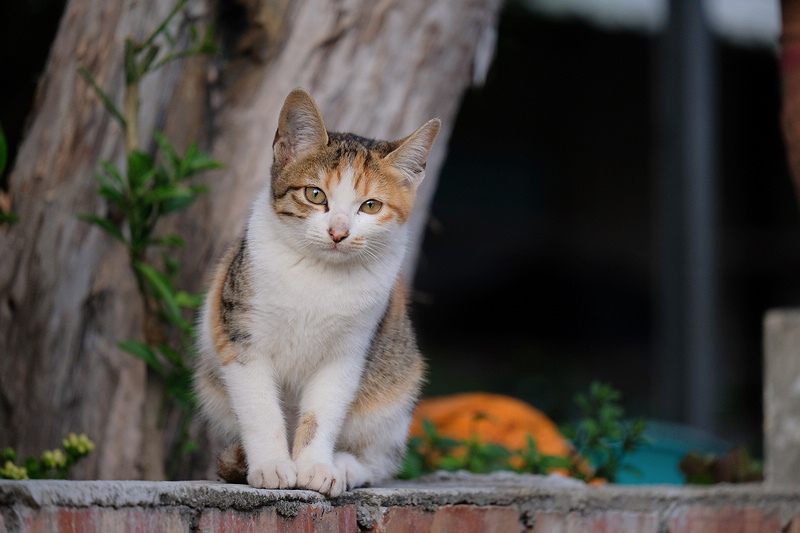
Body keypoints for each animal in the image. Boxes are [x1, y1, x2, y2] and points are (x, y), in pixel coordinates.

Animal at [195, 85, 444, 496]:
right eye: (315, 195)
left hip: (395, 390)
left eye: (370, 206)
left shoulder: (348, 354)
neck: (318, 275)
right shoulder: (240, 335)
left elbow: (321, 413)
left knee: (381, 462)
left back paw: (345, 466)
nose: (338, 232)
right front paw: (272, 465)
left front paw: (314, 466)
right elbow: (259, 407)